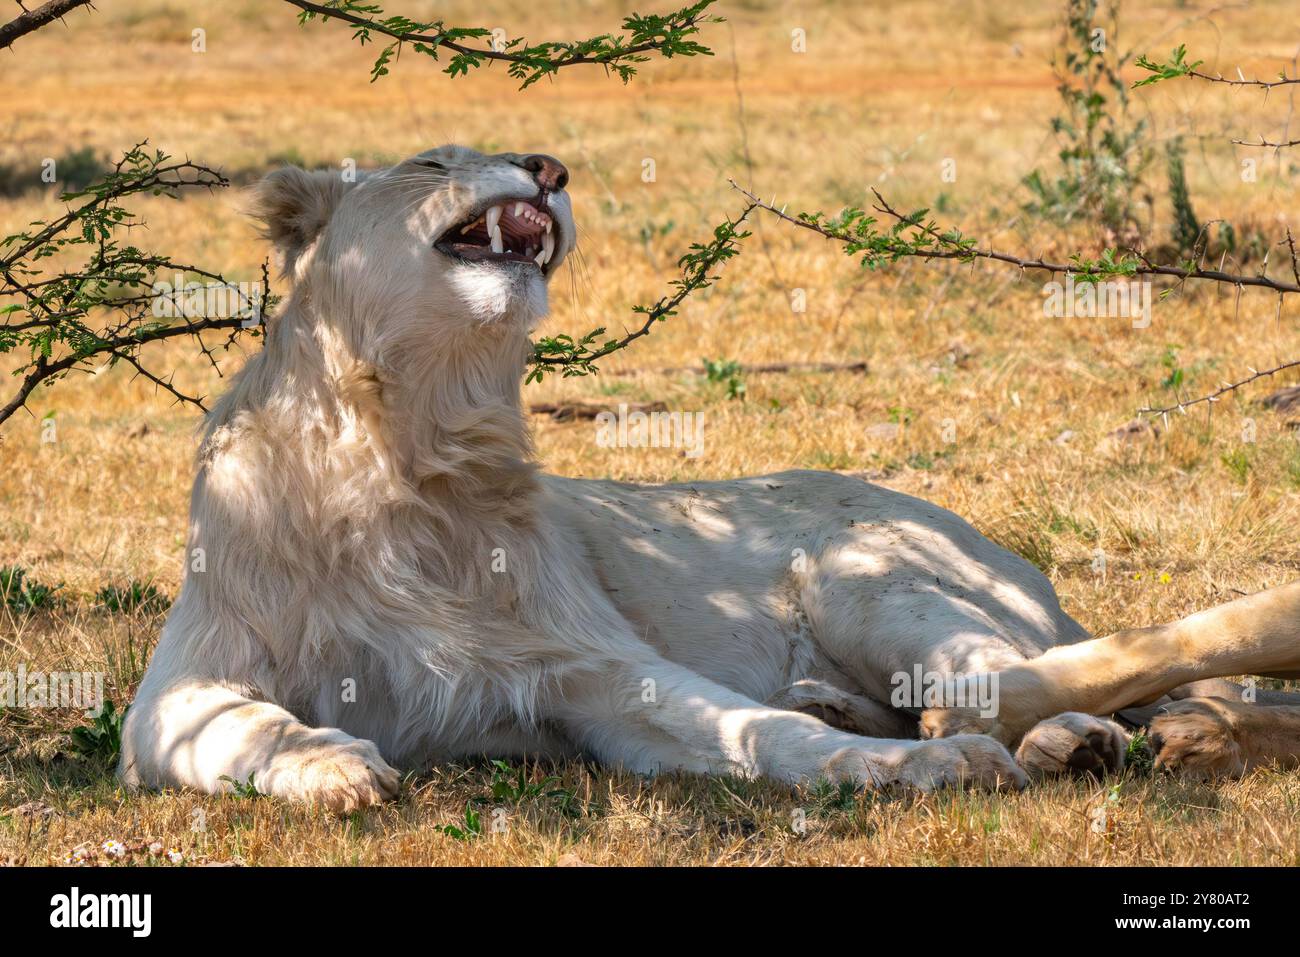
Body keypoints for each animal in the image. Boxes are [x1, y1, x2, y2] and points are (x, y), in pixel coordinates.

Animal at [119, 145, 1300, 811]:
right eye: (427, 165)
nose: (548, 169)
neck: (416, 438)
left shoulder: (590, 668)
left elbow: (755, 732)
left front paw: (918, 773)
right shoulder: (179, 685)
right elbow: (246, 726)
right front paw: (333, 770)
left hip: (866, 570)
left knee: (1024, 673)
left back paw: (1067, 737)